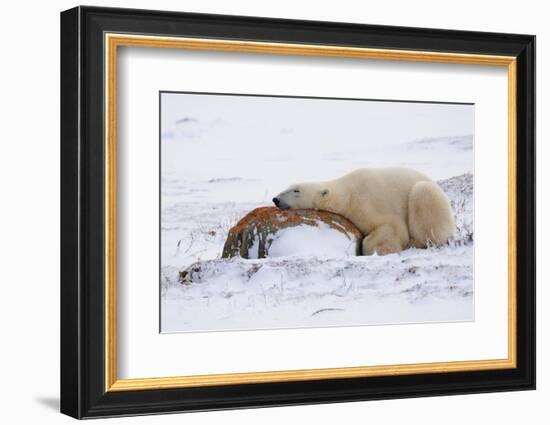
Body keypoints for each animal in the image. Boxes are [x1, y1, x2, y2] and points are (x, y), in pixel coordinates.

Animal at [272, 167, 458, 255]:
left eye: (296, 190)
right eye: (288, 187)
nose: (276, 199)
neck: (347, 193)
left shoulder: (368, 202)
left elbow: (393, 227)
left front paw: (382, 250)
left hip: (429, 196)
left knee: (424, 196)